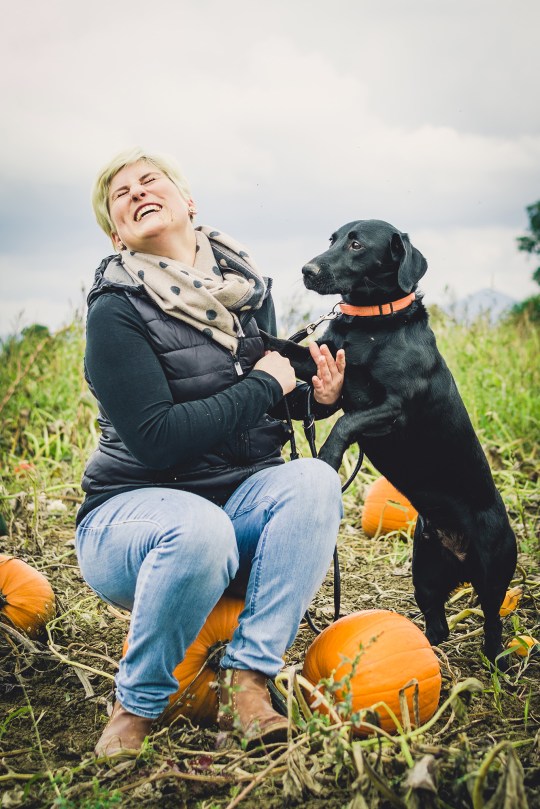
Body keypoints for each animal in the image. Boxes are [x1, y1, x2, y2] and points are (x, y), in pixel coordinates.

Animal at [263, 219, 517, 666]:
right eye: (332, 239)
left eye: (357, 244)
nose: (307, 270)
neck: (370, 327)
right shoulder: (320, 371)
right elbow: (288, 352)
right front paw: (249, 339)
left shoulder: (391, 408)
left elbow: (344, 425)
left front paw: (327, 459)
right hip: (424, 574)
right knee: (438, 625)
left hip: (492, 577)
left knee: (492, 622)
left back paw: (494, 661)